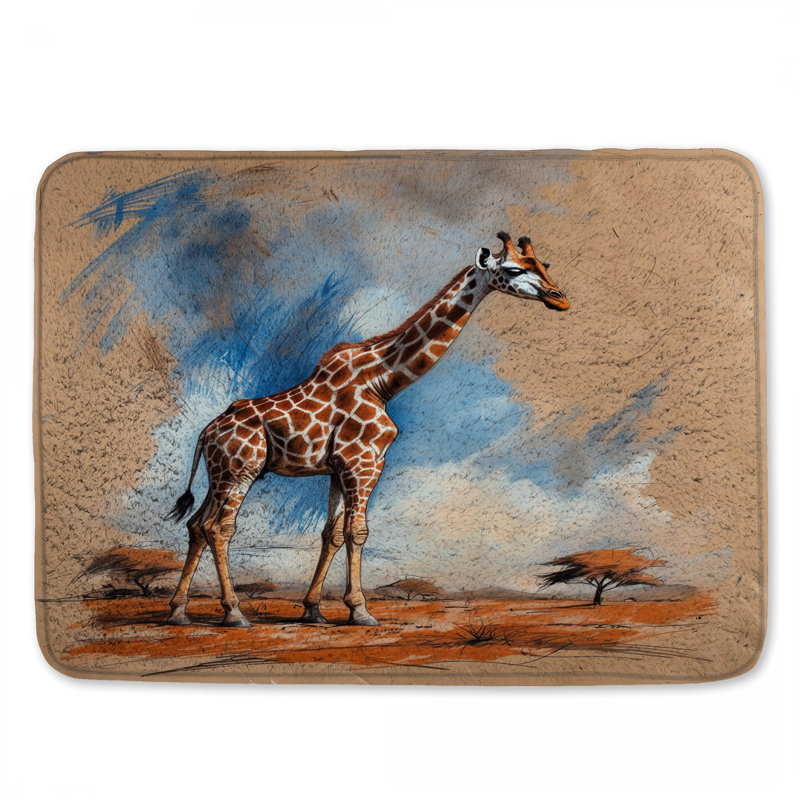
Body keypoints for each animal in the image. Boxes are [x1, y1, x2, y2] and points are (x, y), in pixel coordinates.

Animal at [165, 232, 569, 627]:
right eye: (514, 270)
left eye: (545, 265)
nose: (561, 299)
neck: (383, 381)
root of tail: (206, 433)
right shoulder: (363, 461)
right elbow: (357, 532)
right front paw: (360, 611)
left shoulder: (337, 468)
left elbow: (331, 534)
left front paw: (313, 610)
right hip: (242, 471)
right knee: (218, 528)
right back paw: (234, 613)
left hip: (220, 474)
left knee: (197, 525)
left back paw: (179, 611)